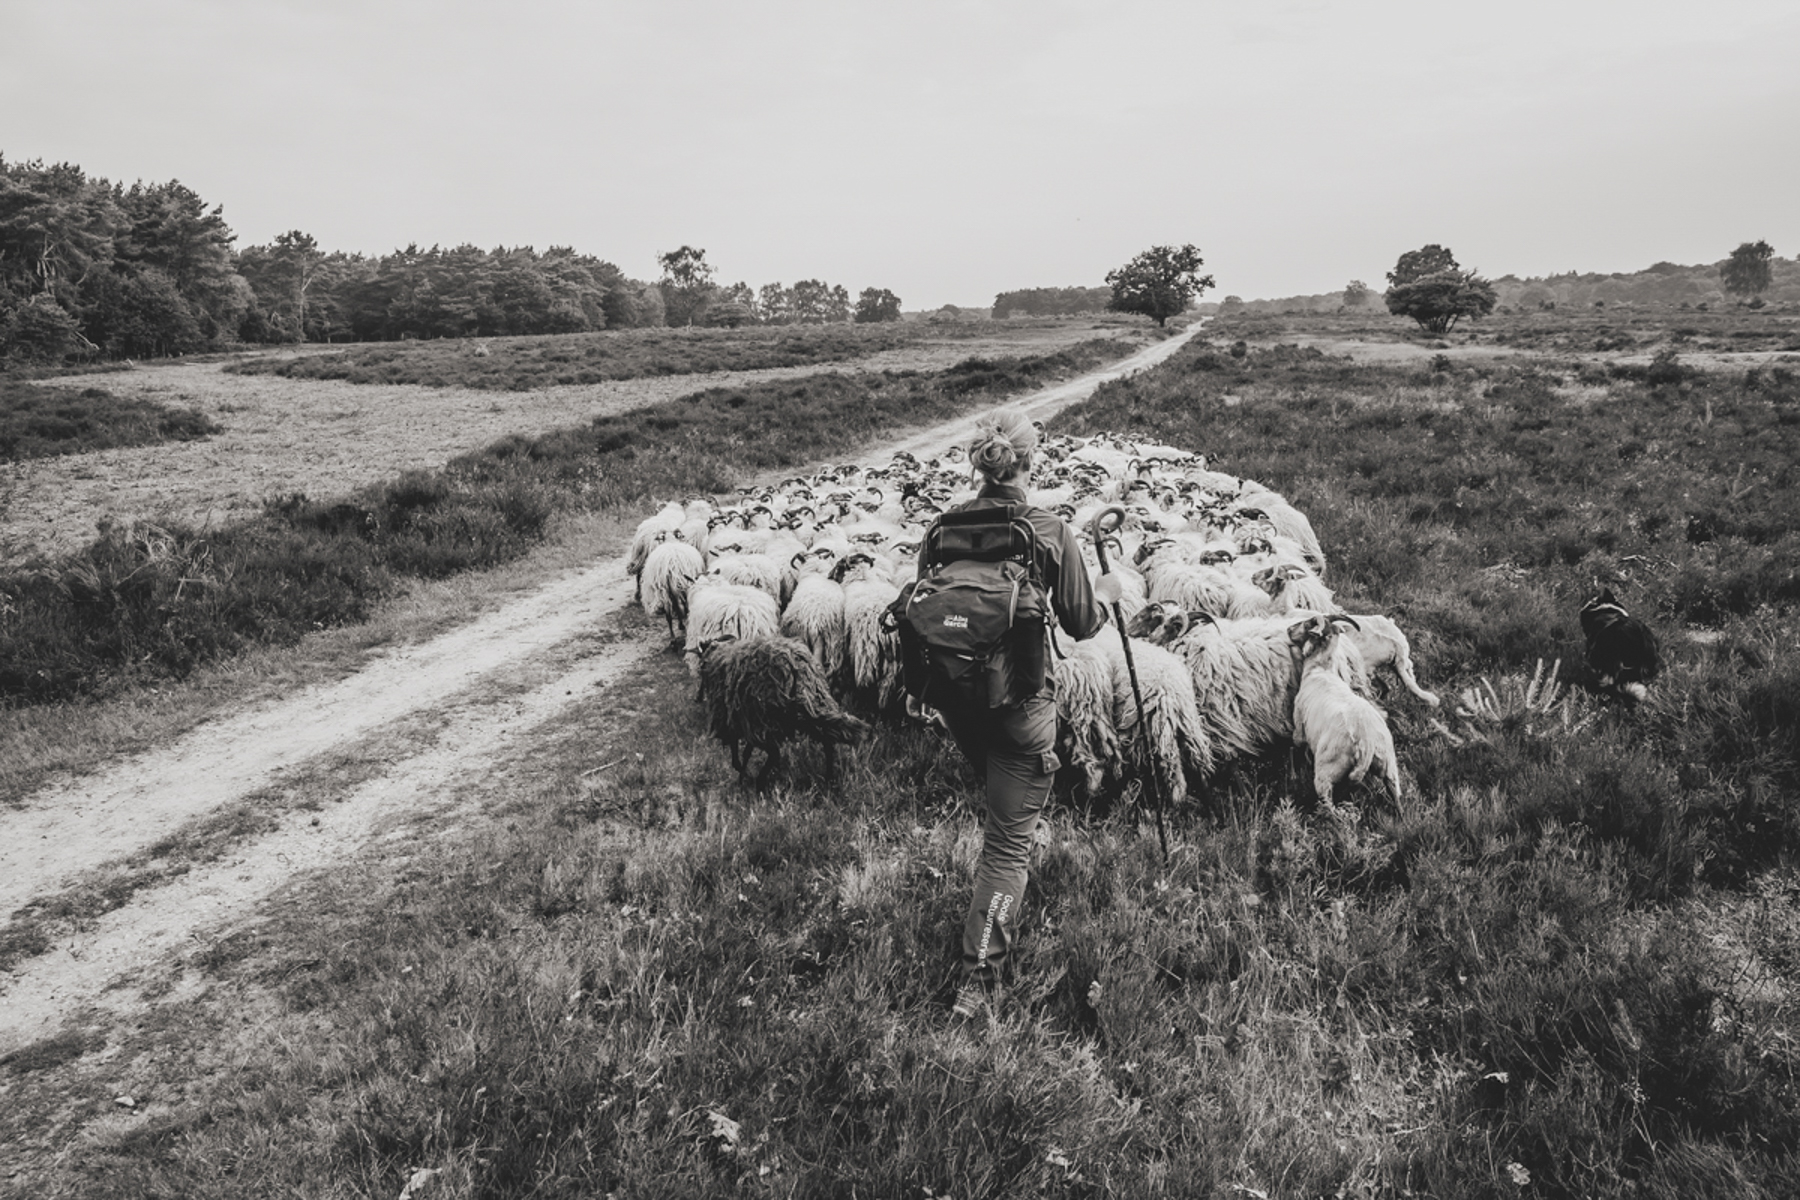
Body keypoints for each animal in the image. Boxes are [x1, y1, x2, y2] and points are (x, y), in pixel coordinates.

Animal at [1296, 618, 1404, 805]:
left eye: (1309, 624)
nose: (1289, 630)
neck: (1321, 669)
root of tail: (1367, 743)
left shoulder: (1298, 725)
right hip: (1389, 766)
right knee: (1398, 800)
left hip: (1327, 771)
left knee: (1328, 804)